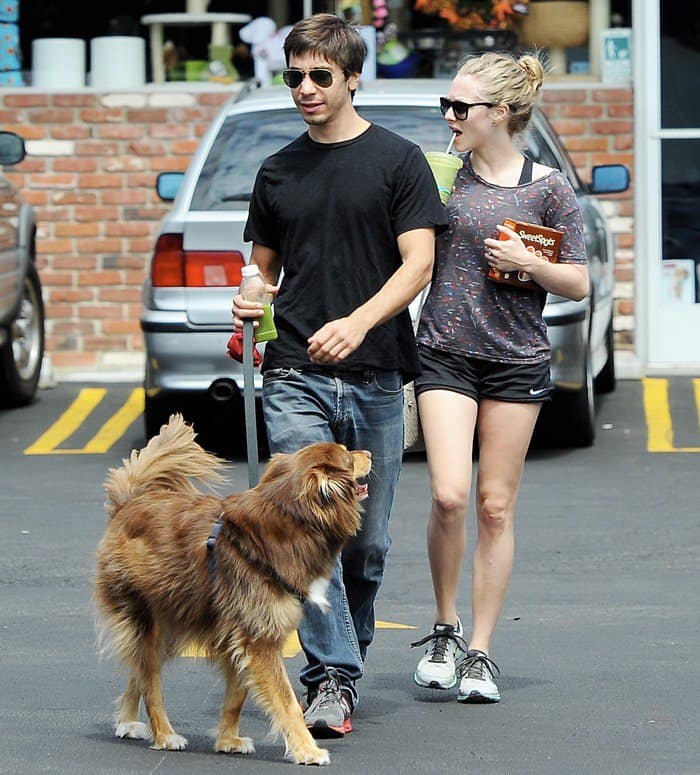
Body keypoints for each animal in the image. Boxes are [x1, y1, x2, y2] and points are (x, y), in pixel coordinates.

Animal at [93, 416, 372, 768]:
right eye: (349, 457)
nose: (369, 453)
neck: (291, 521)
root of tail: (128, 503)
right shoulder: (259, 639)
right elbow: (286, 702)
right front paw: (306, 750)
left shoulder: (241, 636)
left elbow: (237, 695)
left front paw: (227, 740)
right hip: (146, 619)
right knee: (151, 683)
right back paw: (165, 735)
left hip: (173, 625)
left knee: (140, 673)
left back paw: (128, 722)